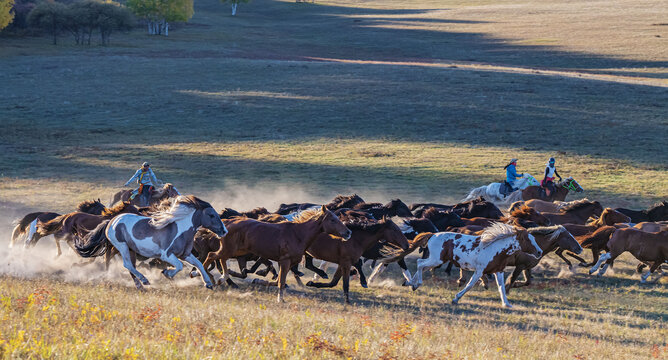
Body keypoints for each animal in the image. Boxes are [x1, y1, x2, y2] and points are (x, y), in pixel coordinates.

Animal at [73, 195, 224, 288]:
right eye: (211, 215)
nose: (224, 231)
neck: (181, 228)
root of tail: (111, 221)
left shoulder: (185, 254)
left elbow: (199, 264)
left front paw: (208, 283)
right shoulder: (167, 255)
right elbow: (179, 266)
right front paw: (167, 273)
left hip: (131, 249)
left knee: (130, 266)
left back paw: (140, 284)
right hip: (122, 247)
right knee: (127, 264)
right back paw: (144, 281)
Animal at [202, 207, 352, 302]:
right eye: (332, 220)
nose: (348, 232)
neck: (298, 234)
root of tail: (226, 223)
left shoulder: (286, 262)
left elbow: (278, 280)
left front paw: (259, 280)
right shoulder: (285, 261)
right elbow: (281, 281)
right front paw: (280, 299)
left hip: (237, 251)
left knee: (220, 259)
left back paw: (220, 279)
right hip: (229, 249)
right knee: (211, 256)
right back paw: (207, 279)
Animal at [404, 224, 540, 308]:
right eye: (527, 239)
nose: (539, 252)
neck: (495, 248)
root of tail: (432, 234)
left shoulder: (498, 271)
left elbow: (501, 288)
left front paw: (506, 304)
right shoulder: (479, 271)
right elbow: (469, 285)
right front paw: (456, 298)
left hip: (437, 260)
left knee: (421, 266)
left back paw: (411, 284)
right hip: (436, 259)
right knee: (420, 263)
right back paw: (415, 284)